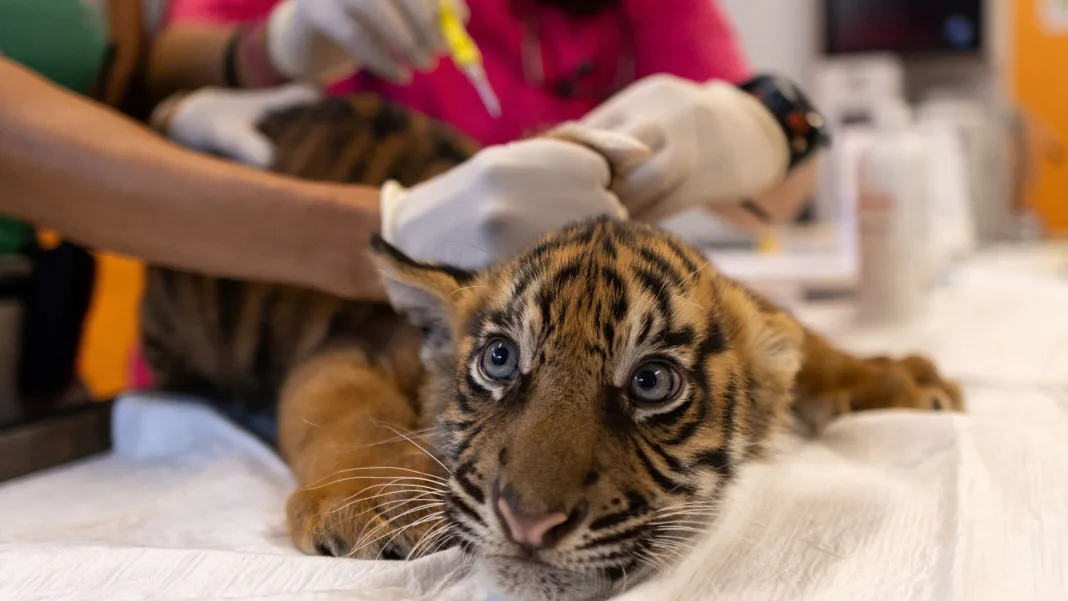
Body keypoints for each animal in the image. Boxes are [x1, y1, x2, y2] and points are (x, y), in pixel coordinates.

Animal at [141, 94, 963, 601]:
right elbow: (345, 409)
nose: (528, 525)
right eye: (499, 360)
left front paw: (902, 377)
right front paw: (378, 506)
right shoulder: (354, 345)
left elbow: (803, 333)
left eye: (652, 382)